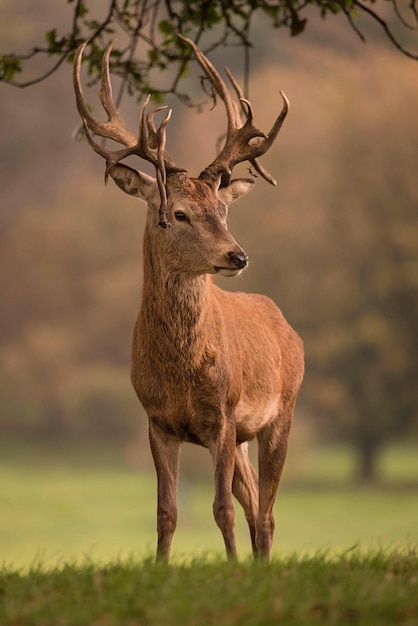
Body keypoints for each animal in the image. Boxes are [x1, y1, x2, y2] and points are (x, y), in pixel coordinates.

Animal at [73, 35, 304, 560]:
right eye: (177, 213)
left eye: (222, 209)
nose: (237, 255)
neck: (181, 373)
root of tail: (286, 324)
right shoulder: (158, 421)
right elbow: (167, 512)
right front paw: (160, 567)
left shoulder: (222, 415)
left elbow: (220, 510)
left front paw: (232, 568)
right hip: (243, 438)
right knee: (254, 503)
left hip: (282, 410)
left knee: (266, 512)